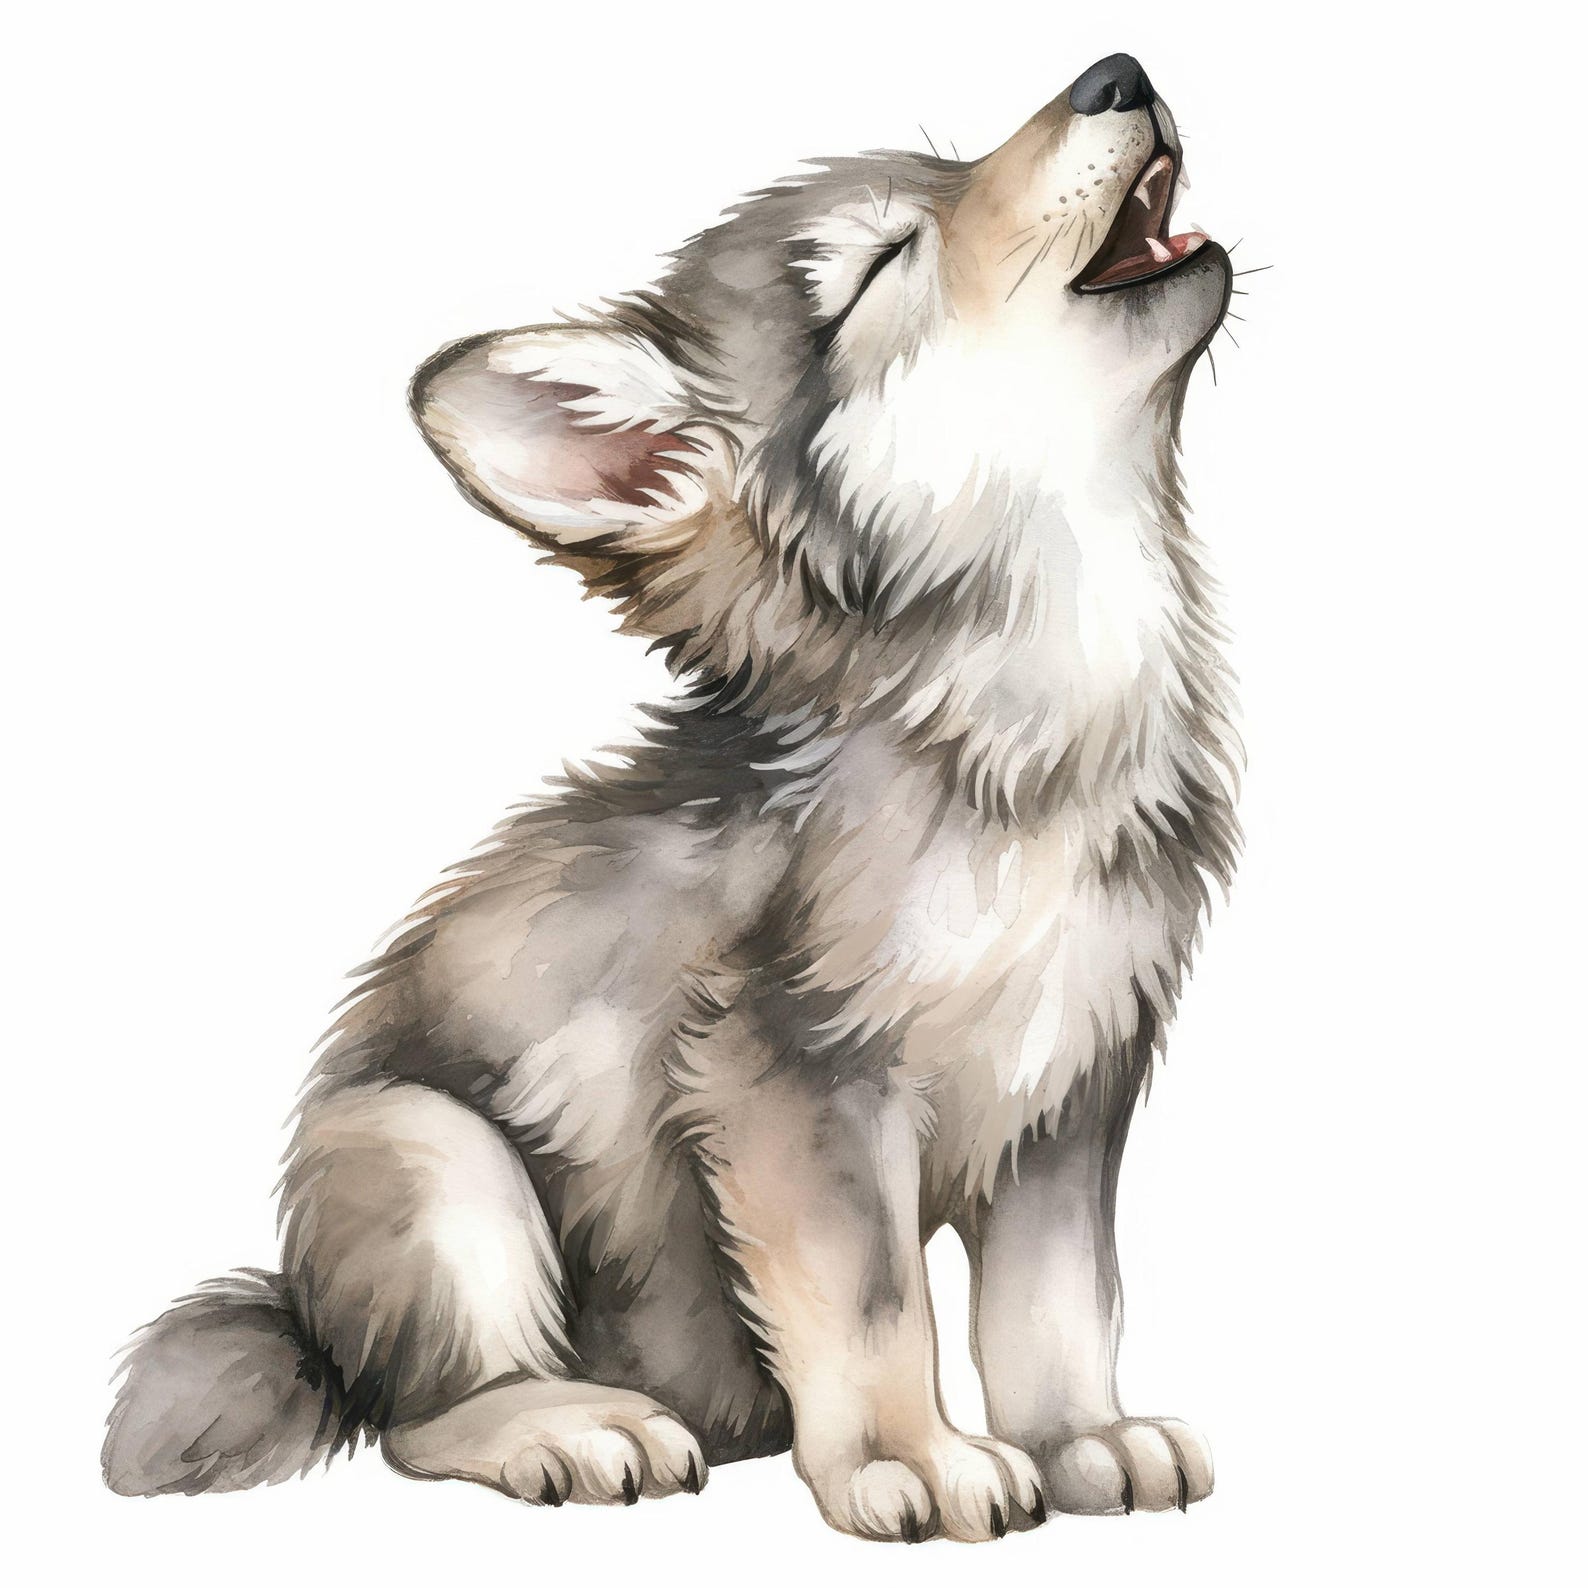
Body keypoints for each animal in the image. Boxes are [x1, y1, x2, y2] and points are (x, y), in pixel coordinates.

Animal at [103, 52, 1241, 1542]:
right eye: (886, 261)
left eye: (946, 177)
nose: (1120, 72)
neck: (1016, 723)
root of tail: (312, 1327)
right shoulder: (785, 1078)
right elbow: (878, 1304)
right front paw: (911, 1456)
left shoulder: (1067, 1093)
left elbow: (1054, 1308)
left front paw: (1081, 1439)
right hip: (426, 1153)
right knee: (419, 1418)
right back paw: (569, 1424)